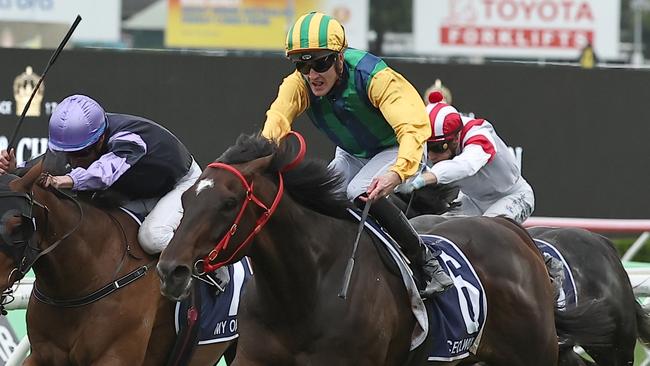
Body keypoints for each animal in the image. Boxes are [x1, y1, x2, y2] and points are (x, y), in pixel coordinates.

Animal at [154, 134, 612, 366]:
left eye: (229, 203)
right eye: (186, 198)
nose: (171, 270)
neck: (304, 293)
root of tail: (519, 237)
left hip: (533, 354)